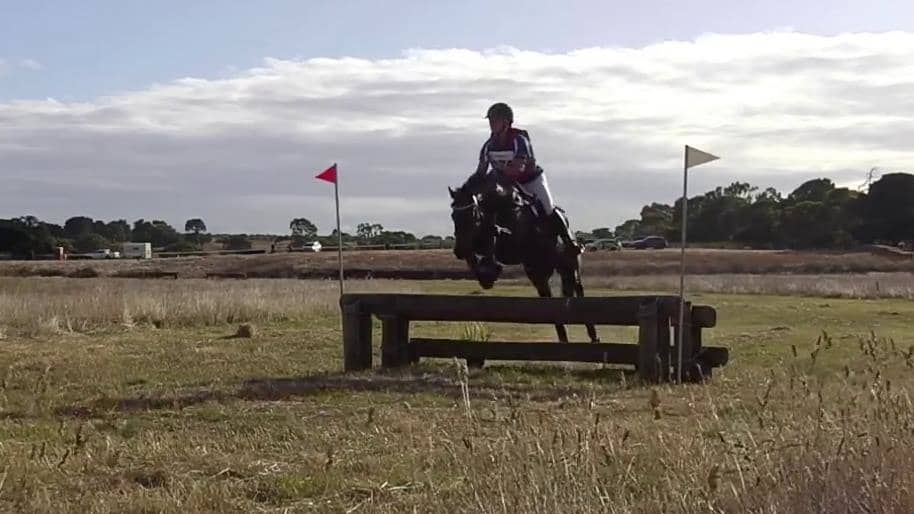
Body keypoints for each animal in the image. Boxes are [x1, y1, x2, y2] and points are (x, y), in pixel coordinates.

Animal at [448, 178, 600, 342]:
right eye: (453, 215)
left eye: (472, 214)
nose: (459, 250)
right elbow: (479, 252)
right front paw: (487, 274)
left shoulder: (515, 240)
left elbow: (496, 233)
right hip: (538, 274)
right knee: (549, 299)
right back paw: (563, 336)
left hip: (570, 266)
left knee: (578, 289)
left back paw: (593, 336)